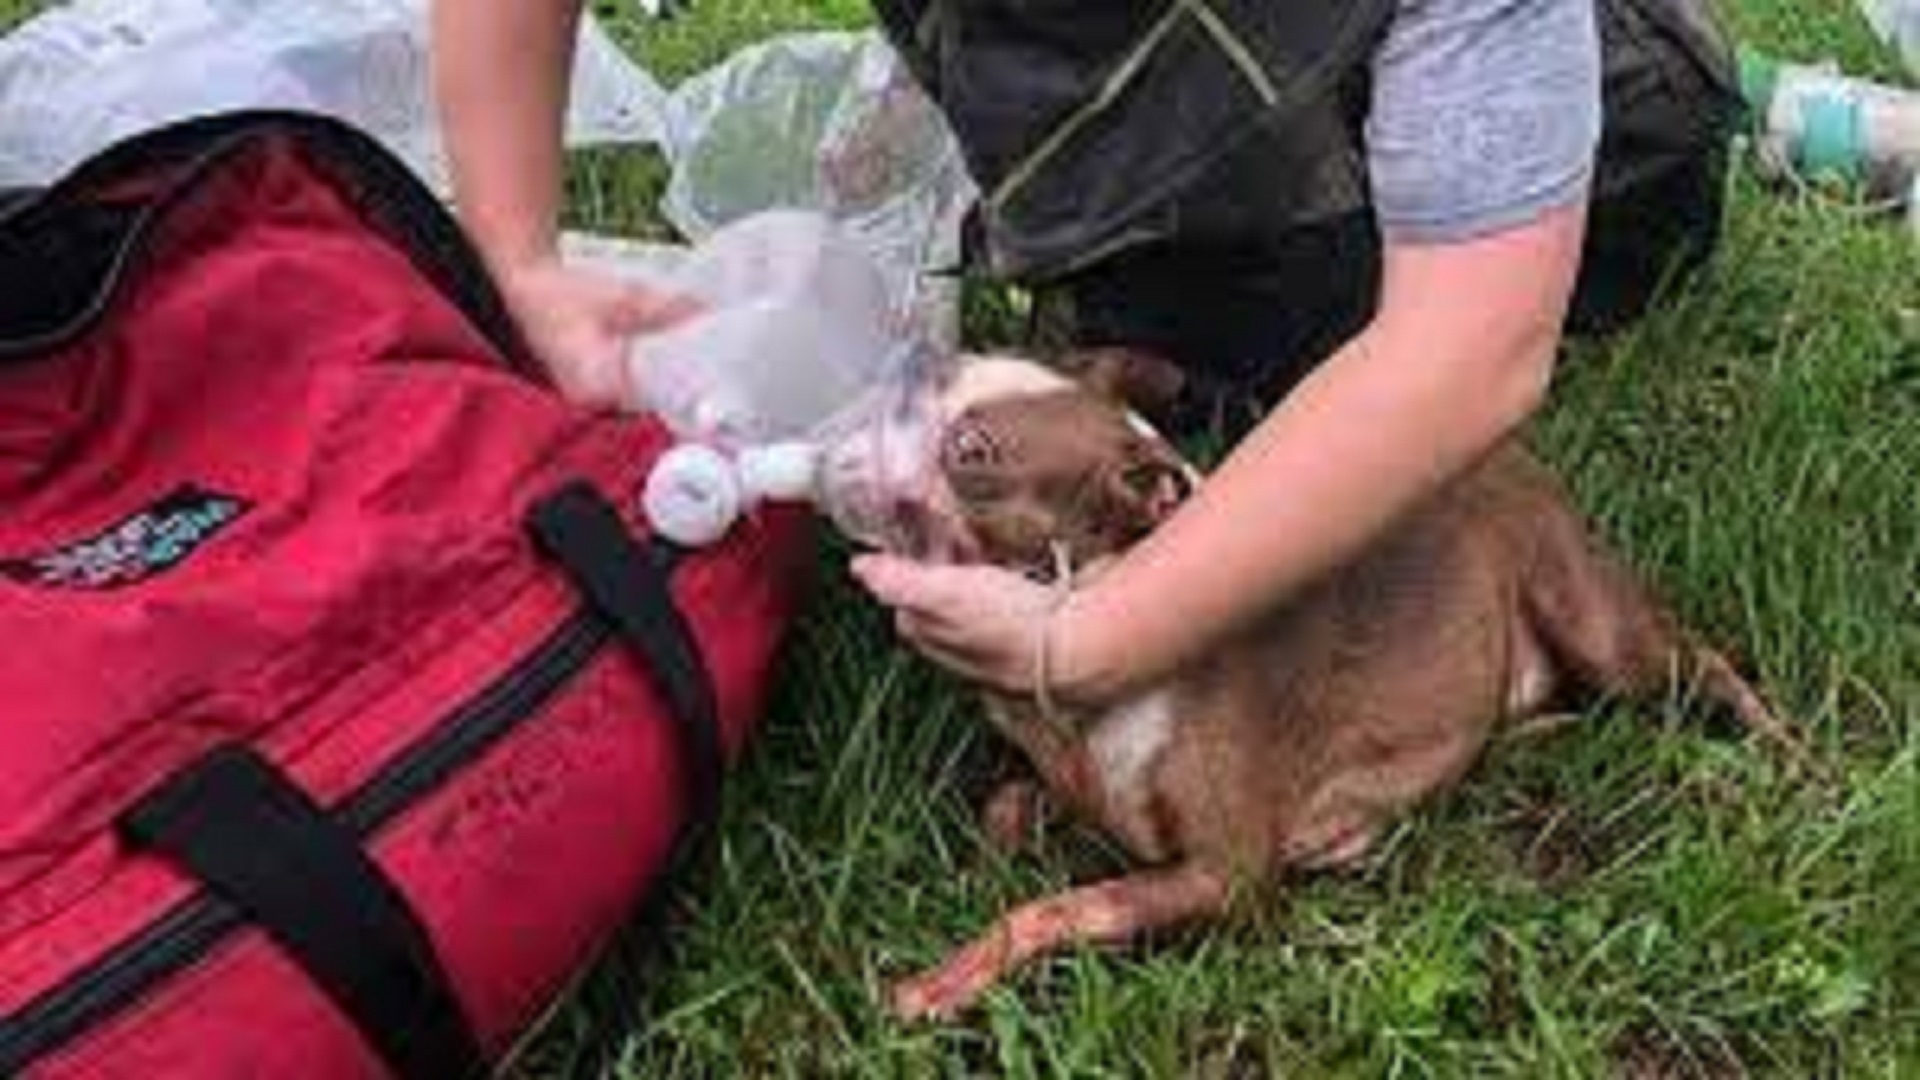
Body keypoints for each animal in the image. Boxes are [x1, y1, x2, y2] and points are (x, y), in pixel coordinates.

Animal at [864, 351, 1804, 1014]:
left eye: (972, 451)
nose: (904, 377)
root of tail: (1508, 452)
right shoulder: (1067, 782)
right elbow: (1009, 809)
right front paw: (990, 862)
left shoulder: (1228, 878)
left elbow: (1056, 908)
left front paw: (943, 980)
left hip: (1595, 621)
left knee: (1703, 665)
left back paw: (1787, 755)